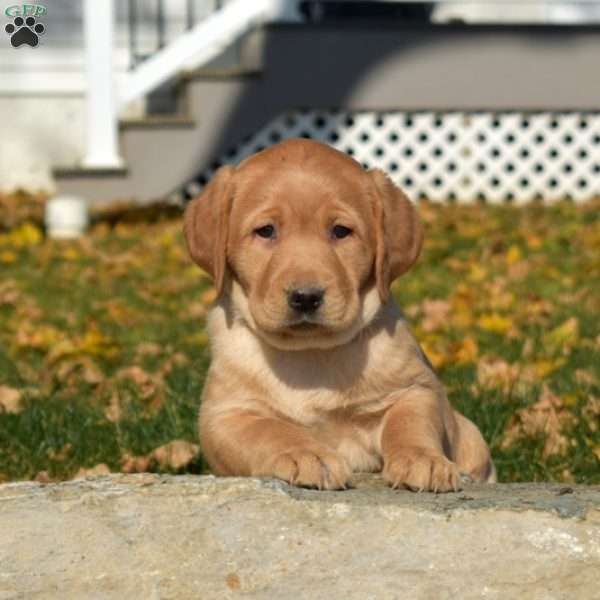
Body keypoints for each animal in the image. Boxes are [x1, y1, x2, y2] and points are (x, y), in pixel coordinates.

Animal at [185, 138, 494, 490]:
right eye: (265, 231)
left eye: (341, 231)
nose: (306, 298)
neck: (311, 355)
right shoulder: (223, 416)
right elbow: (268, 430)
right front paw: (306, 454)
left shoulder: (416, 389)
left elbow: (410, 422)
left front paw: (421, 459)